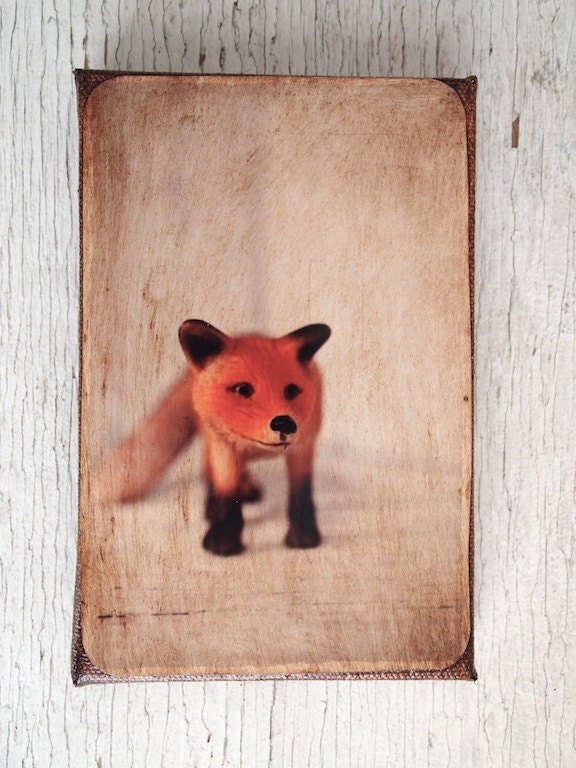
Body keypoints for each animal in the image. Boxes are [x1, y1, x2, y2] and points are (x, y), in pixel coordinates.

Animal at [93, 320, 331, 556]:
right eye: (243, 389)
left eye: (292, 390)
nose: (285, 423)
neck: (254, 447)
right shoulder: (223, 448)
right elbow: (225, 494)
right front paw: (222, 540)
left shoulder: (303, 448)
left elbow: (301, 495)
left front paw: (304, 536)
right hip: (210, 441)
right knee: (207, 470)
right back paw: (212, 507)